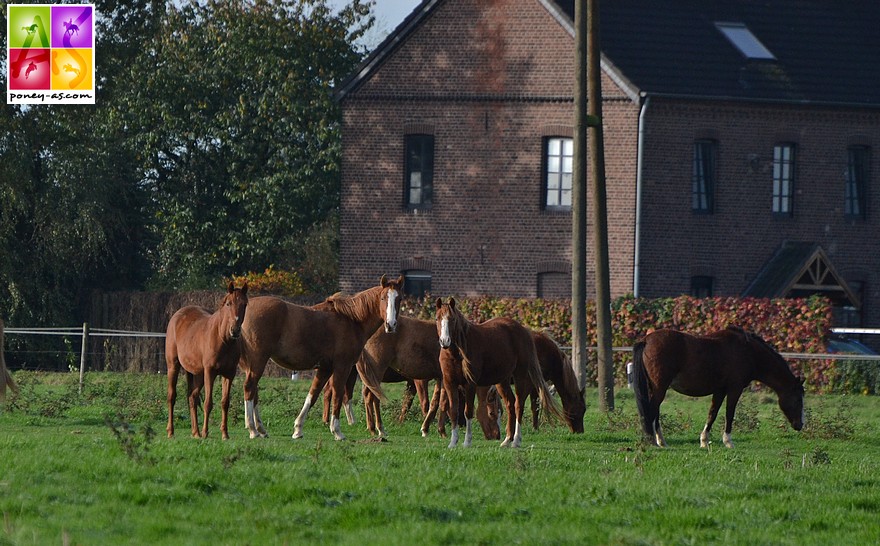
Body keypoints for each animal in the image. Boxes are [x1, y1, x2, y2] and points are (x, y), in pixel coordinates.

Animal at [164, 280, 248, 438]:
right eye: (229, 303)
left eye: (245, 304)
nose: (235, 330)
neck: (223, 339)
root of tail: (177, 315)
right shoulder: (210, 372)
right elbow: (208, 403)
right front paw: (205, 432)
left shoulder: (229, 374)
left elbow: (225, 402)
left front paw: (225, 434)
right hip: (174, 366)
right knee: (172, 397)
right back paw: (171, 432)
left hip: (198, 374)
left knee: (192, 397)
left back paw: (195, 432)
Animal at [237, 274, 402, 440]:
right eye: (383, 298)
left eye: (399, 299)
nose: (391, 325)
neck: (352, 320)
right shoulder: (342, 367)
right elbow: (337, 395)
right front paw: (337, 431)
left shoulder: (325, 369)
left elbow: (313, 395)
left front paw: (298, 429)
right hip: (258, 360)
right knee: (249, 387)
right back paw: (253, 429)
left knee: (254, 391)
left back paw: (261, 428)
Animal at [354, 314, 498, 438]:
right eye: (492, 412)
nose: (497, 435)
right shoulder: (433, 379)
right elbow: (441, 403)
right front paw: (440, 430)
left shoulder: (439, 379)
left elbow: (435, 403)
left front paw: (428, 429)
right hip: (377, 370)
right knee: (372, 397)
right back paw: (378, 429)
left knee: (369, 396)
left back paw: (372, 427)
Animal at [434, 298, 564, 446]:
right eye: (437, 318)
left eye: (453, 319)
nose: (445, 341)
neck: (456, 354)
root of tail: (524, 330)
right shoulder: (449, 383)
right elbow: (454, 411)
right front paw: (453, 442)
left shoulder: (470, 384)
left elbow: (468, 412)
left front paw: (467, 442)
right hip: (502, 381)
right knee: (510, 404)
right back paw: (507, 440)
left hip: (520, 376)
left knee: (518, 405)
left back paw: (516, 441)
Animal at [632, 324, 804, 446]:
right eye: (798, 399)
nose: (800, 425)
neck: (748, 351)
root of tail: (646, 340)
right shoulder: (734, 389)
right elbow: (729, 414)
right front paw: (728, 441)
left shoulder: (720, 390)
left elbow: (712, 413)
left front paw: (704, 441)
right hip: (660, 388)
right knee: (651, 411)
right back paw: (652, 441)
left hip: (655, 388)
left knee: (654, 412)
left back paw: (661, 441)